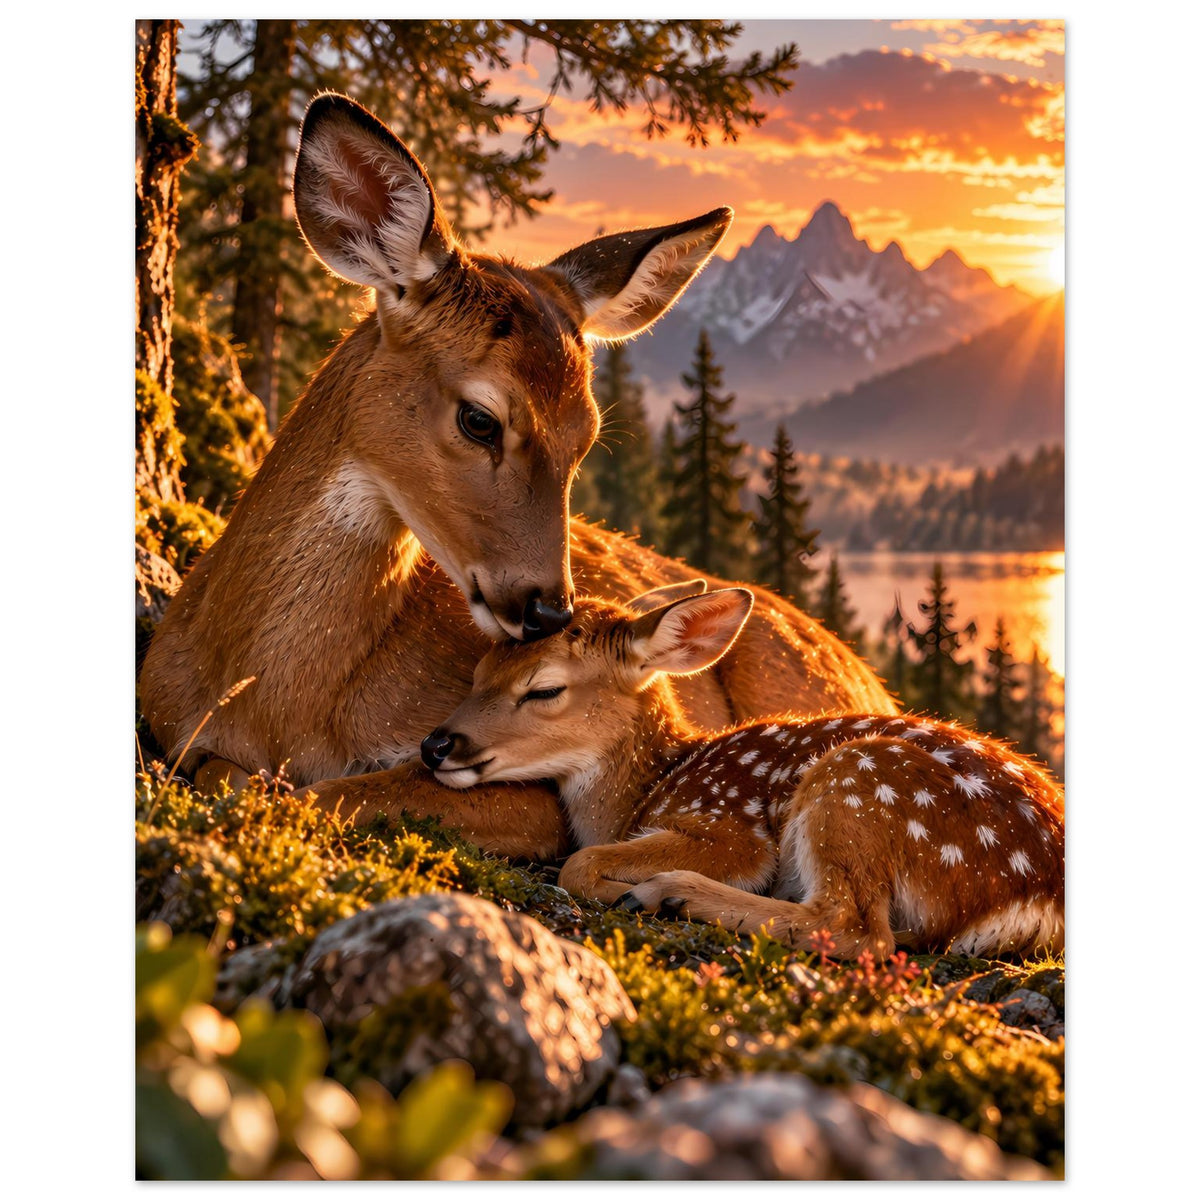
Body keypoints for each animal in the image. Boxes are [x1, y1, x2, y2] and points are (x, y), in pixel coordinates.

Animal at [139, 92, 896, 863]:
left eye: (586, 437)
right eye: (480, 419)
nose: (550, 610)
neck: (269, 703)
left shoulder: (530, 794)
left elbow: (329, 792)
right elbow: (234, 775)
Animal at [421, 583, 1065, 959]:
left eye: (544, 689)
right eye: (479, 670)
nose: (435, 745)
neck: (647, 787)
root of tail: (1039, 895)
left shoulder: (731, 827)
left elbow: (580, 862)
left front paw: (622, 885)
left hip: (858, 781)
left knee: (857, 928)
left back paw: (667, 894)